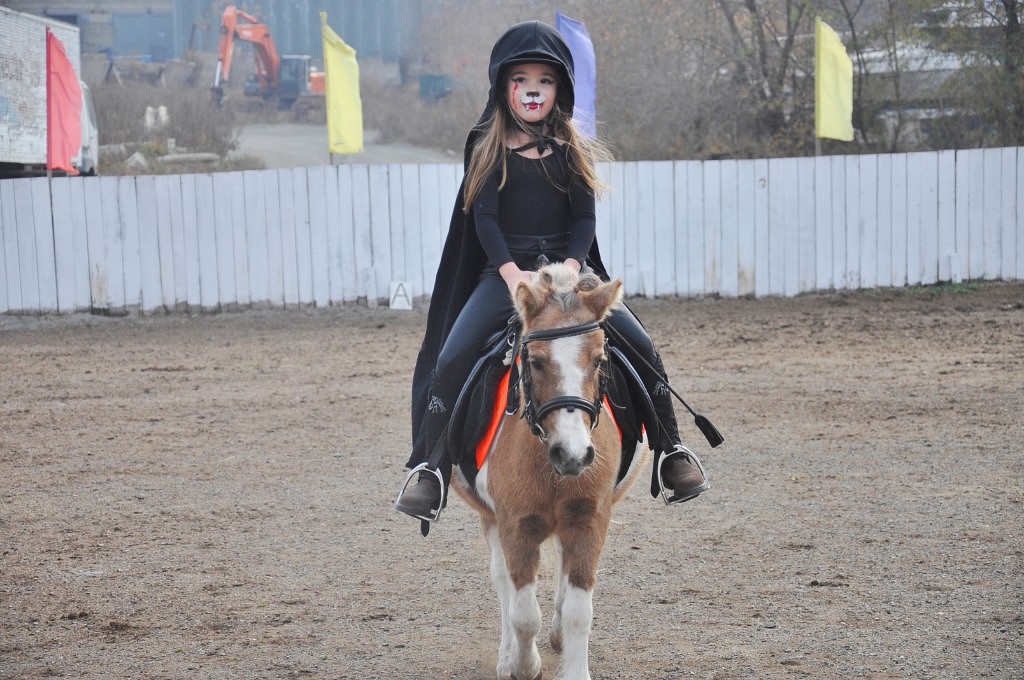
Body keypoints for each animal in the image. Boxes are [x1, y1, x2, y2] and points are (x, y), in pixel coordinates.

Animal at [451, 263, 648, 680]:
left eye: (598, 360)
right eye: (537, 362)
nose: (572, 455)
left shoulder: (589, 518)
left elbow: (578, 611)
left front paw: (573, 666)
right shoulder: (515, 525)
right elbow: (524, 613)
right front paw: (523, 666)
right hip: (490, 518)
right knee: (504, 583)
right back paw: (507, 655)